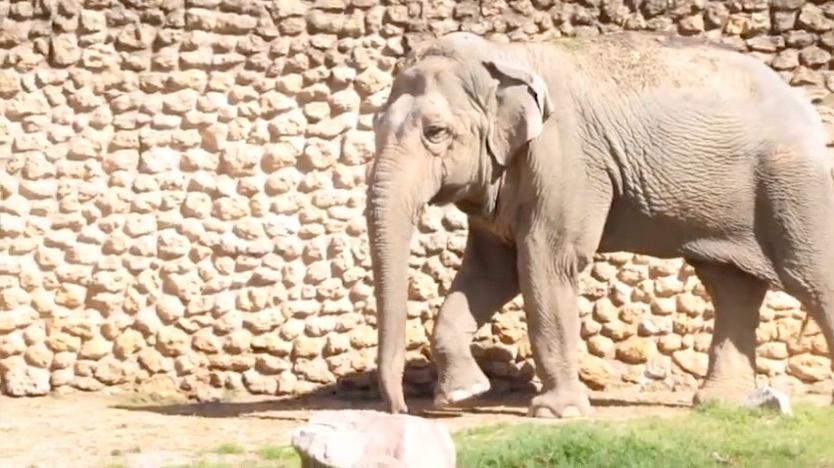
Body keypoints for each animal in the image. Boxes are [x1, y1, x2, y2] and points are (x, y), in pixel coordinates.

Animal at [365, 30, 834, 418]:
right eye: (375, 124)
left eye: (436, 132)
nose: (400, 410)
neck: (505, 55)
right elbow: (489, 272)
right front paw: (463, 394)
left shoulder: (565, 158)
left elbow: (547, 263)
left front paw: (556, 414)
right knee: (730, 286)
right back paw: (720, 404)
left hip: (791, 183)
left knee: (807, 277)